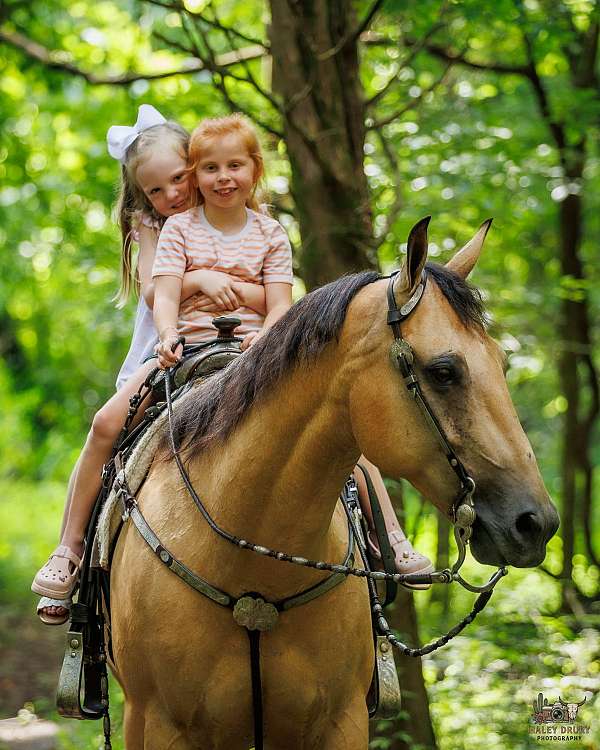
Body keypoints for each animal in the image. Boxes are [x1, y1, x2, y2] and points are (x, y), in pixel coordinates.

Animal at [109, 217, 559, 749]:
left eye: (502, 363)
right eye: (444, 371)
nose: (536, 523)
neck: (253, 572)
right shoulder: (162, 724)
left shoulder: (340, 721)